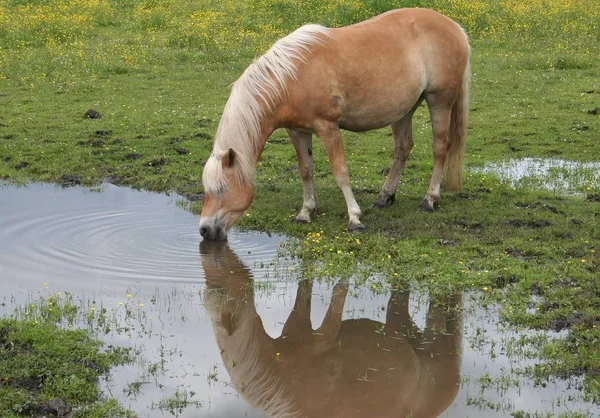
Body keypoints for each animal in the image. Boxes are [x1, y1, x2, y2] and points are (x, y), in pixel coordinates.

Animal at [199, 8, 472, 240]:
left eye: (221, 189)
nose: (204, 230)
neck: (291, 78)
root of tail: (455, 27)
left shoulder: (328, 128)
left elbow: (341, 173)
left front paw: (355, 218)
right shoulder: (297, 131)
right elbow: (306, 170)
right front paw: (305, 211)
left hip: (439, 100)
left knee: (440, 148)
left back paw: (429, 200)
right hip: (404, 110)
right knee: (403, 148)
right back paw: (384, 197)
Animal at [199, 240, 462, 416]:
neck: (281, 378)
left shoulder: (324, 337)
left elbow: (339, 291)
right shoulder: (297, 326)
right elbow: (304, 288)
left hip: (432, 338)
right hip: (401, 327)